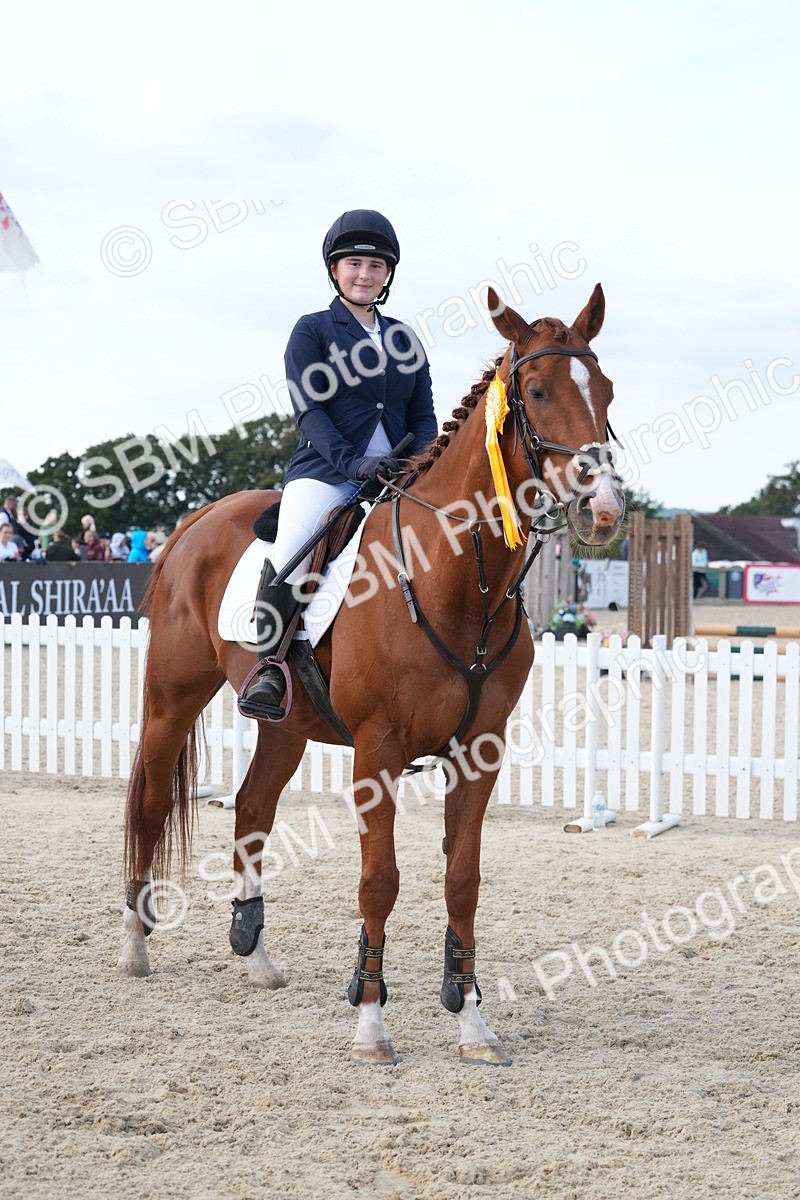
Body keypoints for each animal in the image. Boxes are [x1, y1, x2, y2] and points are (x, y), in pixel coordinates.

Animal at [118, 283, 626, 1065]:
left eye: (605, 390)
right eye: (537, 391)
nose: (601, 507)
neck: (453, 579)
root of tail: (197, 519)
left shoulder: (479, 753)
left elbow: (462, 881)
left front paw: (471, 1022)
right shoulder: (378, 750)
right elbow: (379, 881)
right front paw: (371, 1022)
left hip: (287, 723)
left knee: (252, 807)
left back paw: (255, 953)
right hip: (173, 700)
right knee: (147, 802)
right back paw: (135, 946)